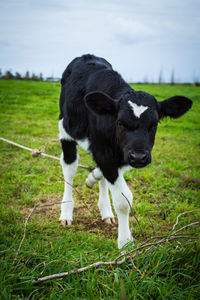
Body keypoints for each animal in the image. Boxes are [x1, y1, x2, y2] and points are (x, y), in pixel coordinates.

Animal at [58, 54, 192, 248]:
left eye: (154, 124)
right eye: (120, 122)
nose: (138, 157)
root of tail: (86, 56)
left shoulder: (116, 154)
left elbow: (106, 174)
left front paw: (92, 178)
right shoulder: (105, 151)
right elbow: (123, 200)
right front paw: (125, 243)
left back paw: (106, 211)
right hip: (65, 128)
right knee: (69, 168)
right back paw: (66, 213)